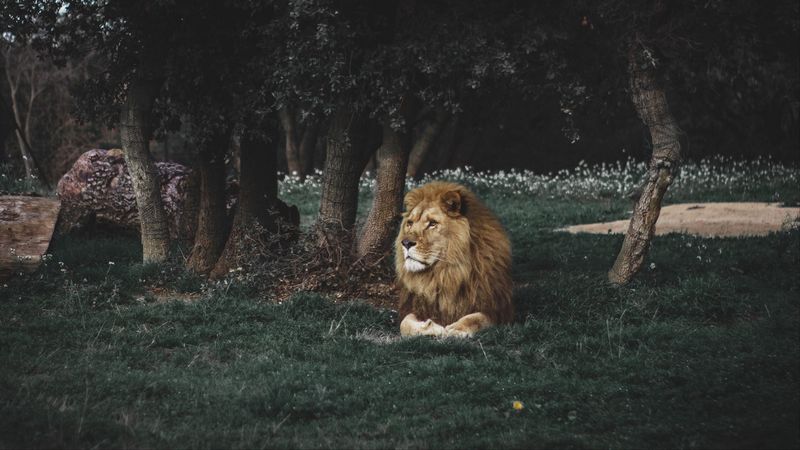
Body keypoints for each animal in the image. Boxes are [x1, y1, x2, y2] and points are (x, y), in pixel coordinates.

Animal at [395, 181, 513, 337]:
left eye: (432, 223)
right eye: (409, 223)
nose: (406, 243)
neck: (444, 274)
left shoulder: (498, 310)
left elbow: (477, 318)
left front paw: (457, 329)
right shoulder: (414, 306)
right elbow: (404, 323)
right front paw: (431, 327)